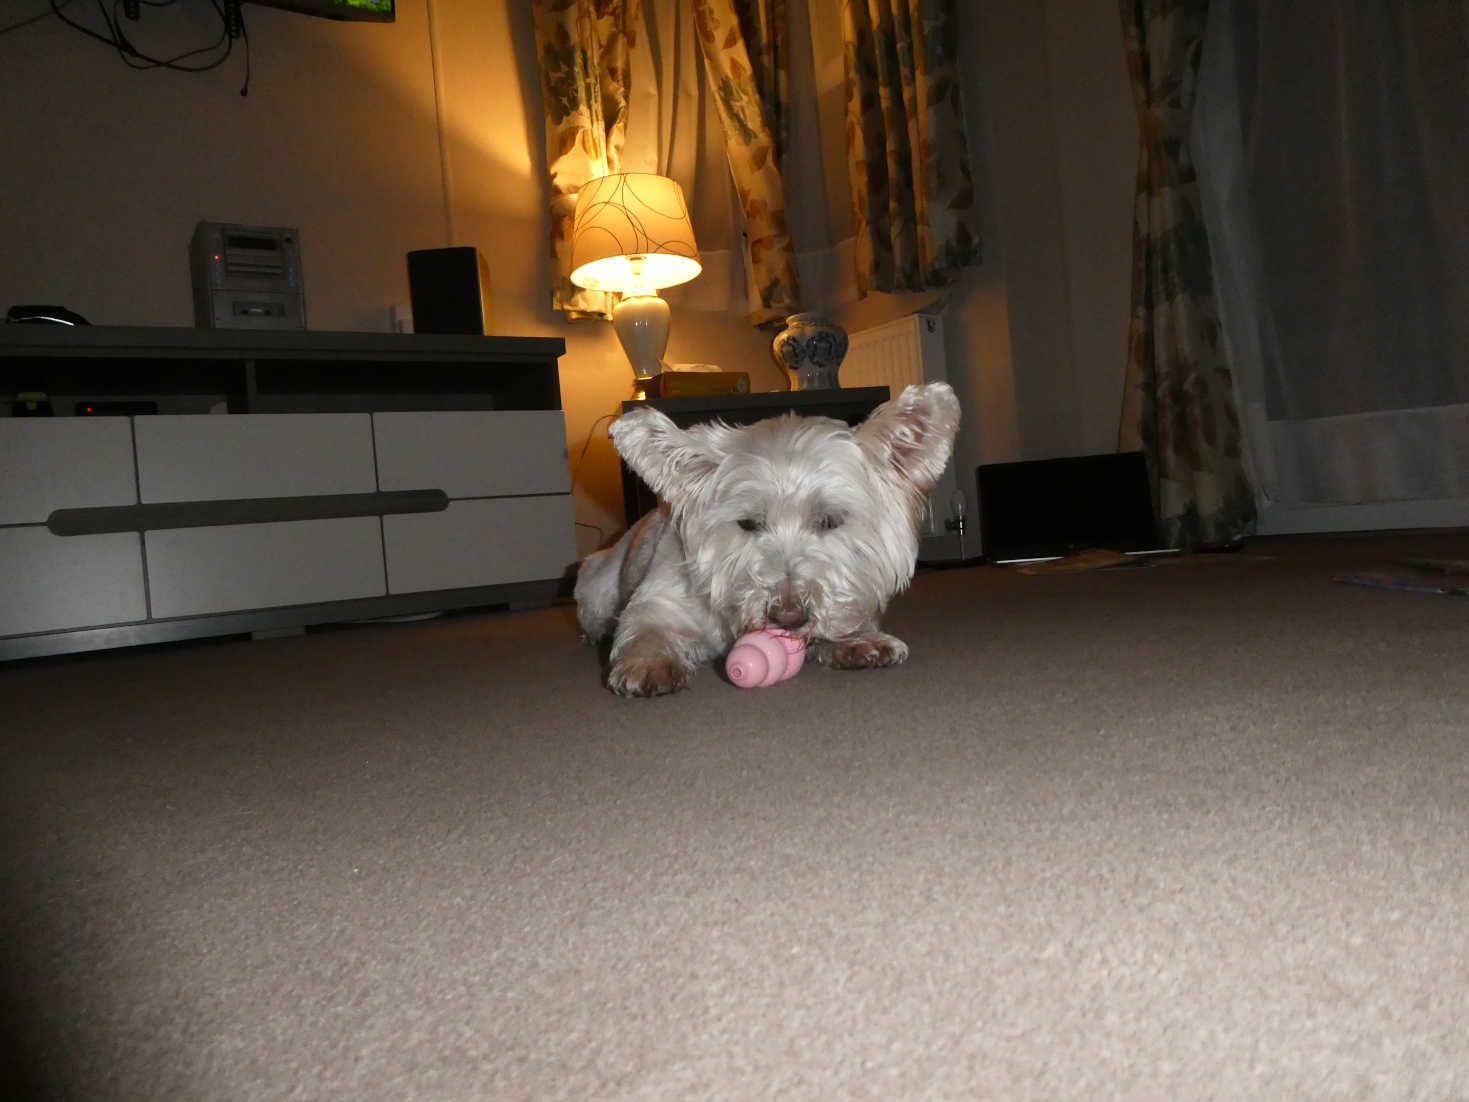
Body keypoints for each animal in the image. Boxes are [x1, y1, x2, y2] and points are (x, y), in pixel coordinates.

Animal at [572, 384, 963, 699]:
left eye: (829, 520)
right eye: (747, 523)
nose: (787, 617)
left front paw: (857, 641)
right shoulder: (657, 602)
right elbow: (645, 628)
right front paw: (648, 664)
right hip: (596, 589)